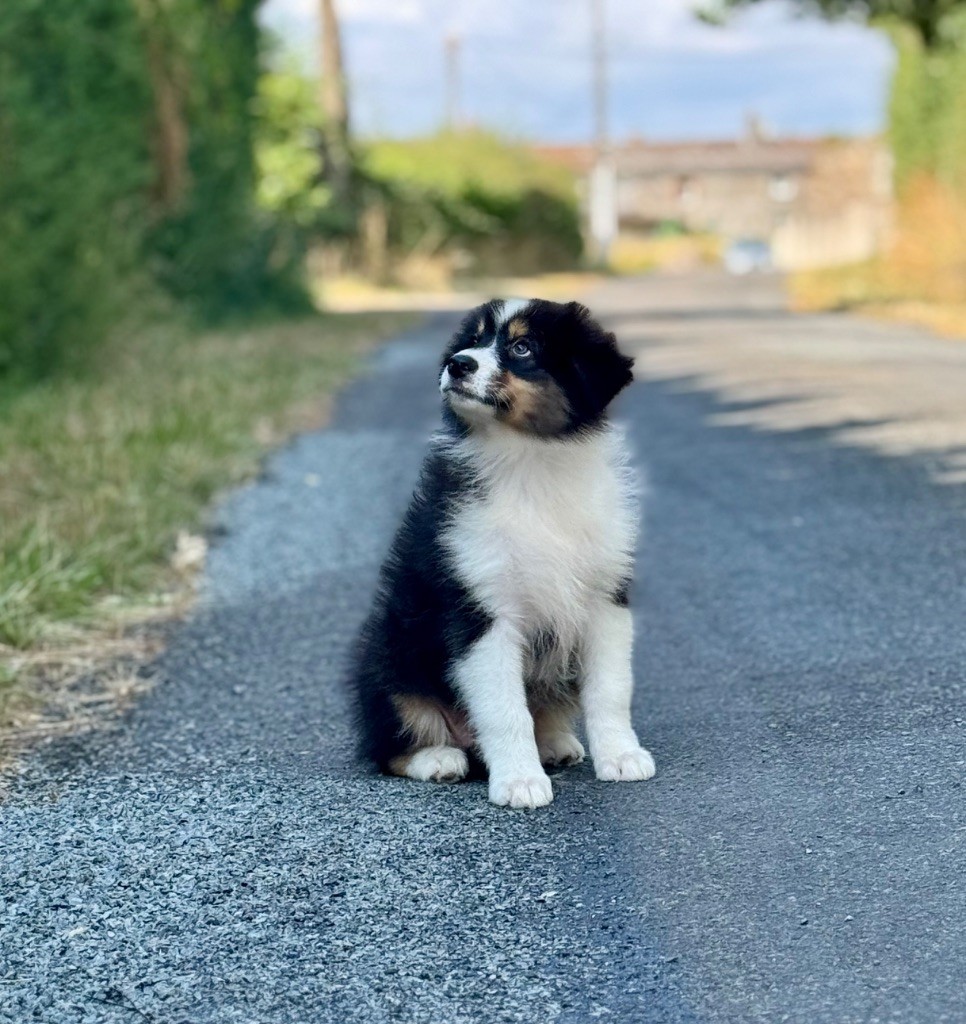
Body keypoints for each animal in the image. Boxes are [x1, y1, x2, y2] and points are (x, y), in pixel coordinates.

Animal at [350, 298, 655, 808]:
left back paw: (554, 743)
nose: (457, 364)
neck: (529, 461)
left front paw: (621, 756)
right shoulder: (481, 610)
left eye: (522, 347)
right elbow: (504, 708)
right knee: (387, 743)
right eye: (472, 341)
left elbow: (611, 688)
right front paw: (520, 782)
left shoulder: (605, 598)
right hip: (388, 657)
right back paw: (439, 759)